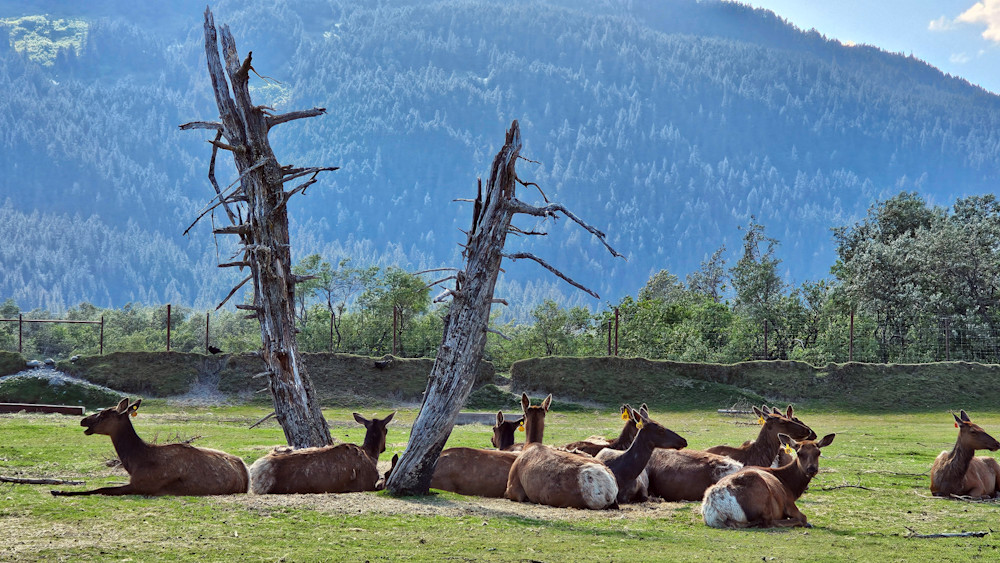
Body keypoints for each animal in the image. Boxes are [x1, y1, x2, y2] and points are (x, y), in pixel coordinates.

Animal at [51, 398, 249, 496]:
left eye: (104, 413)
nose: (83, 420)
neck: (136, 461)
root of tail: (246, 474)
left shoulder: (143, 485)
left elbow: (101, 489)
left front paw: (60, 490)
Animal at [702, 433, 836, 528]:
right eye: (799, 452)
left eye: (818, 452)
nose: (811, 469)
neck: (790, 486)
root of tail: (716, 511)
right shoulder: (788, 502)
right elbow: (803, 517)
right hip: (763, 498)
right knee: (770, 522)